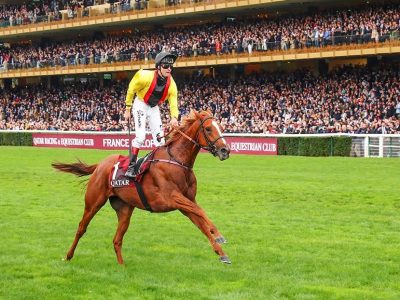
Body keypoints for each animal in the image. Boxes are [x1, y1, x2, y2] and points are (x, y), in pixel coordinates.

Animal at [51, 110, 231, 264]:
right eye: (208, 129)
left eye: (221, 128)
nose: (225, 150)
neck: (177, 161)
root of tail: (100, 165)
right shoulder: (173, 198)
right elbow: (201, 212)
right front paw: (219, 235)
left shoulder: (186, 202)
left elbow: (201, 223)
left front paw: (221, 253)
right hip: (93, 202)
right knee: (81, 228)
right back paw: (68, 256)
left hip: (124, 209)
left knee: (117, 240)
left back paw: (122, 266)